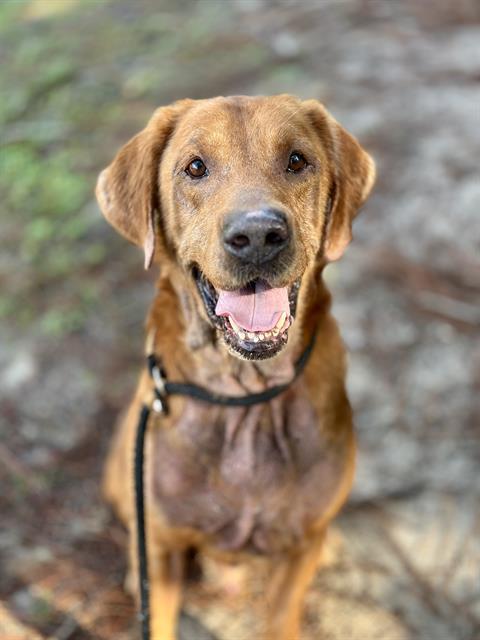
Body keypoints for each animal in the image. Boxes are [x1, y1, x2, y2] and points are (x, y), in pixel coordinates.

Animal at [96, 92, 376, 636]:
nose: (258, 235)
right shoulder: (164, 547)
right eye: (195, 167)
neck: (246, 396)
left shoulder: (298, 547)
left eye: (297, 160)